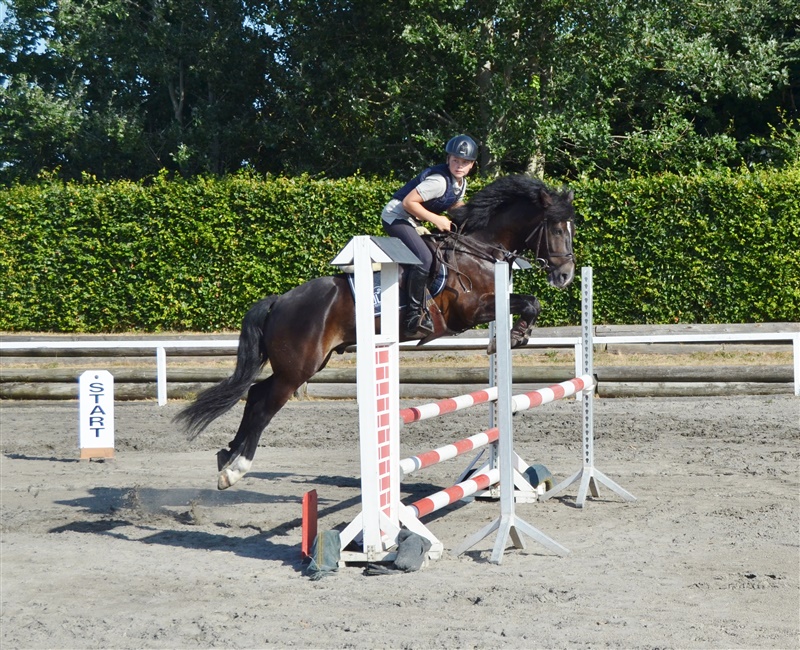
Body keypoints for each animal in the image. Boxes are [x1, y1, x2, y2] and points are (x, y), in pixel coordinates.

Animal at [175, 174, 576, 489]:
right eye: (557, 229)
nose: (565, 275)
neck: (478, 249)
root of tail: (280, 301)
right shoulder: (469, 310)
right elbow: (530, 302)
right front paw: (512, 337)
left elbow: (531, 303)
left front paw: (513, 337)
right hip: (297, 369)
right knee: (263, 406)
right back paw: (235, 470)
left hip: (308, 364)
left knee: (256, 395)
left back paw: (227, 456)